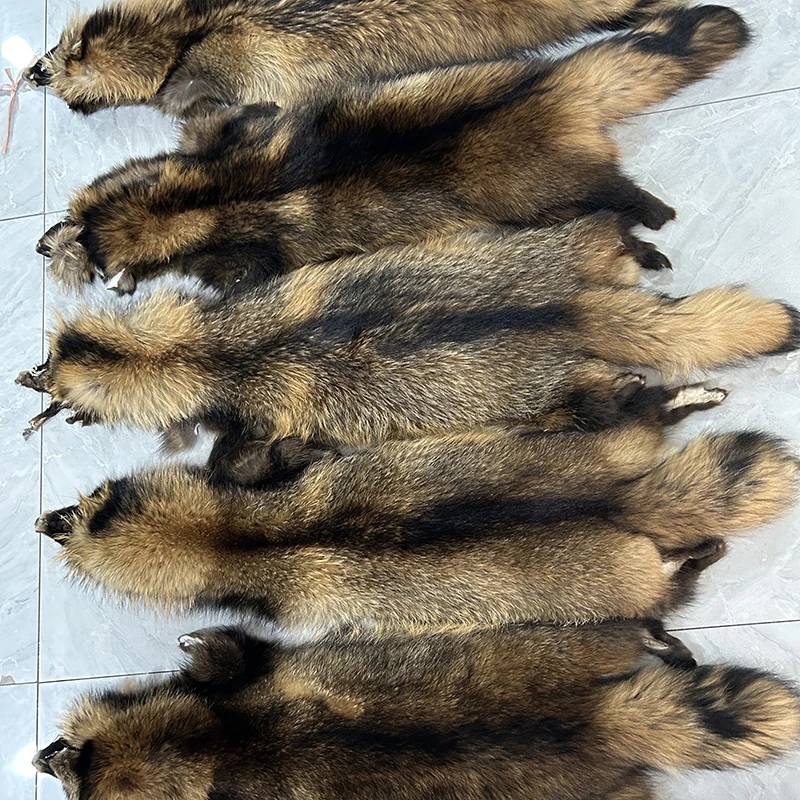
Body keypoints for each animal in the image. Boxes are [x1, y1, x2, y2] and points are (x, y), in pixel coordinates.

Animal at [18, 218, 800, 471]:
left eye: (54, 373)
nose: (32, 375)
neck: (198, 352)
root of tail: (567, 311)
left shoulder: (258, 417)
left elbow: (247, 458)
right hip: (550, 248)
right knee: (605, 239)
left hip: (569, 401)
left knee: (624, 404)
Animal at [34, 424, 799, 632]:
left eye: (89, 500)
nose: (44, 519)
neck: (232, 537)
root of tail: (613, 503)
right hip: (598, 449)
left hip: (621, 586)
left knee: (670, 591)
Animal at [35, 4, 751, 296]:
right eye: (68, 214)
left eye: (78, 242)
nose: (39, 246)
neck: (193, 200)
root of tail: (549, 89)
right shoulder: (229, 137)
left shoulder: (244, 239)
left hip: (545, 191)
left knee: (610, 198)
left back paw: (648, 216)